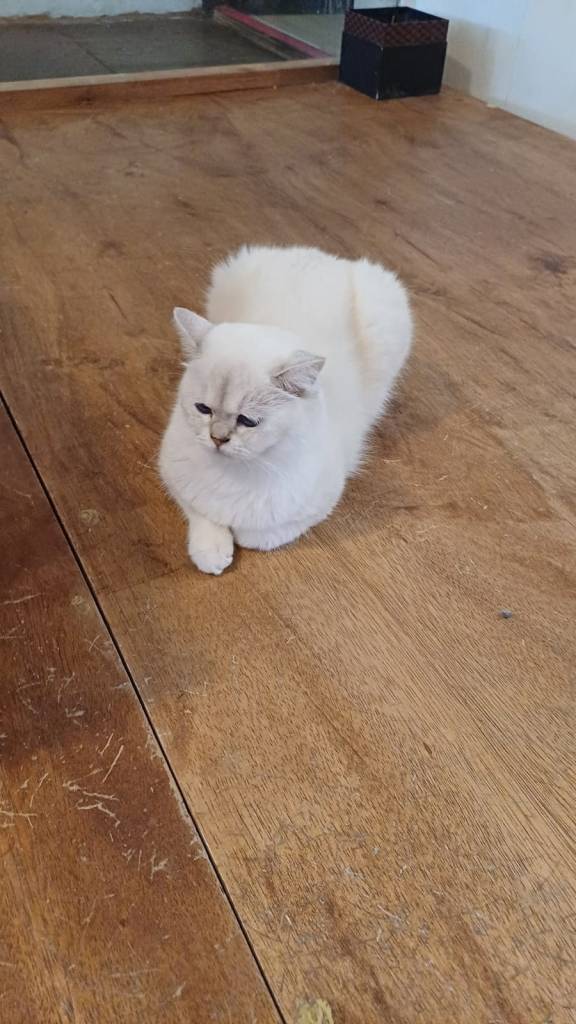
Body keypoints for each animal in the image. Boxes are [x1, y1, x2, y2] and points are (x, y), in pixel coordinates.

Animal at [159, 245, 412, 575]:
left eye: (248, 421)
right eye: (203, 409)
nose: (217, 439)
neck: (238, 472)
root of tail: (324, 257)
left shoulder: (320, 503)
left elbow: (257, 536)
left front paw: (236, 536)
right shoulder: (173, 477)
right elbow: (203, 516)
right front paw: (213, 552)